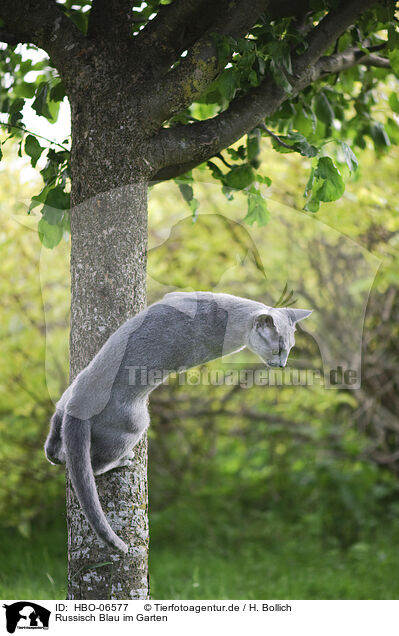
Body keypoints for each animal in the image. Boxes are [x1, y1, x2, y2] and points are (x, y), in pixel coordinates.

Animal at [43, 290, 312, 556]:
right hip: (127, 420)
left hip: (80, 408)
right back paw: (117, 459)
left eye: (290, 349)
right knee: (86, 462)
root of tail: (79, 404)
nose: (282, 364)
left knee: (63, 453)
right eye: (279, 349)